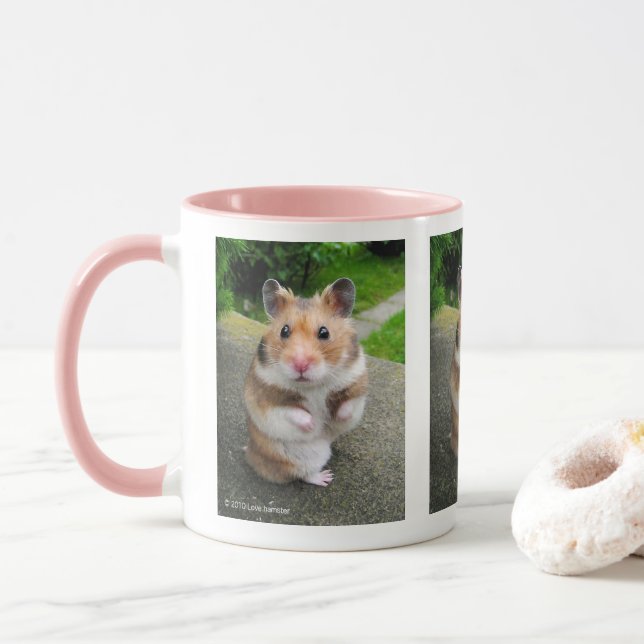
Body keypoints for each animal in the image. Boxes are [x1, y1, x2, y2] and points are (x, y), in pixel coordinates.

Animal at [244, 277, 368, 486]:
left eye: (324, 332)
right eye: (284, 331)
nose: (300, 364)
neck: (312, 385)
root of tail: (252, 457)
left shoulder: (357, 385)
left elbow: (348, 405)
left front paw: (335, 419)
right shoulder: (267, 400)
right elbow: (294, 412)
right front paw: (314, 425)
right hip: (302, 457)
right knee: (303, 474)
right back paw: (326, 478)